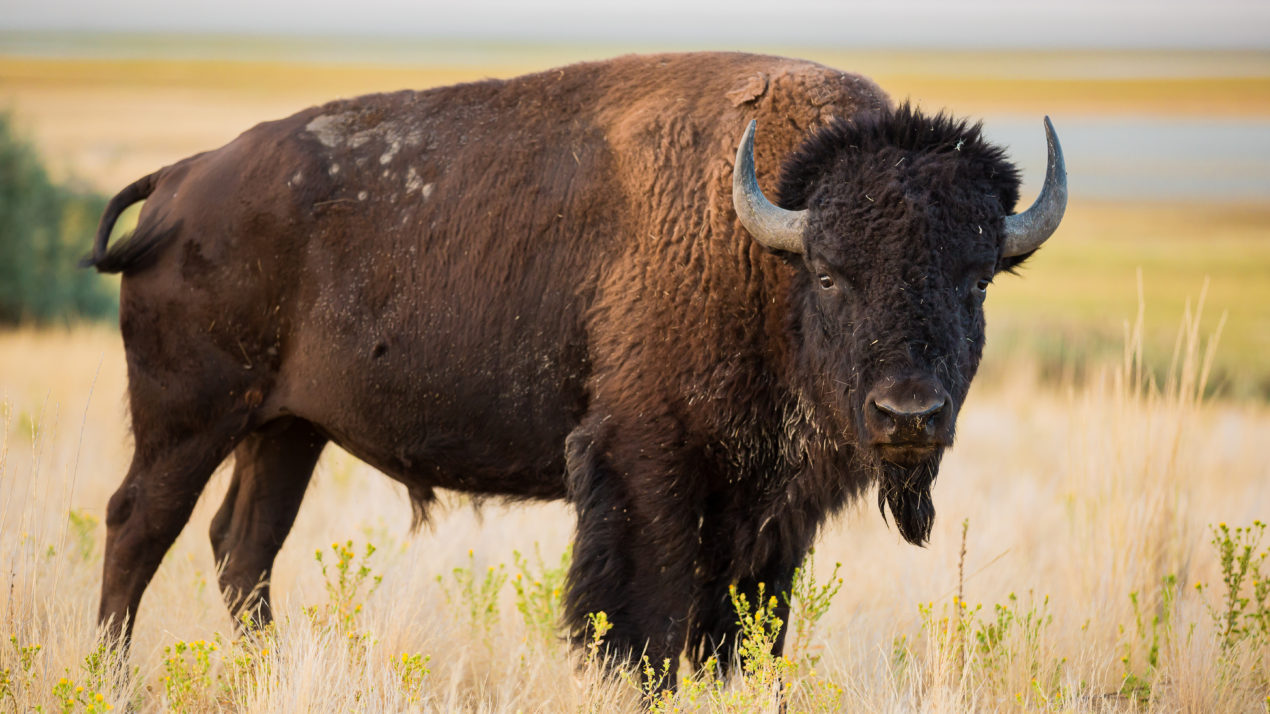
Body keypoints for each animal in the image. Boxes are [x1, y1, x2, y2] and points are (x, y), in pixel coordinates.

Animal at [87, 52, 1065, 678]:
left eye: (976, 278)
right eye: (830, 273)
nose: (909, 415)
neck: (762, 247)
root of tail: (182, 180)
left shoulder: (770, 508)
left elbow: (740, 632)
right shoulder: (647, 466)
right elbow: (646, 624)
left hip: (287, 430)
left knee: (242, 548)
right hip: (190, 418)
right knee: (140, 526)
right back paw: (110, 676)